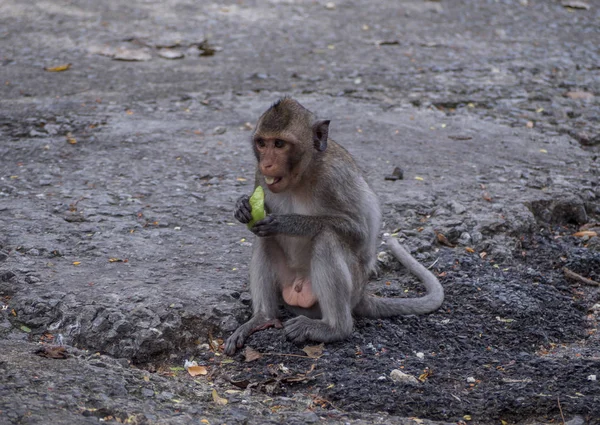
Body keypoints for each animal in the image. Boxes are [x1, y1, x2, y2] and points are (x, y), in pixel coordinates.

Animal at [223, 97, 442, 354]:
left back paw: (334, 328)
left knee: (326, 237)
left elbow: (359, 232)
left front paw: (288, 223)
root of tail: (362, 295)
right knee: (264, 238)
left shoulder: (335, 178)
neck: (302, 174)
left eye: (279, 144)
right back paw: (263, 318)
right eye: (261, 143)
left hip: (350, 288)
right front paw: (242, 206)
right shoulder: (260, 177)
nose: (266, 164)